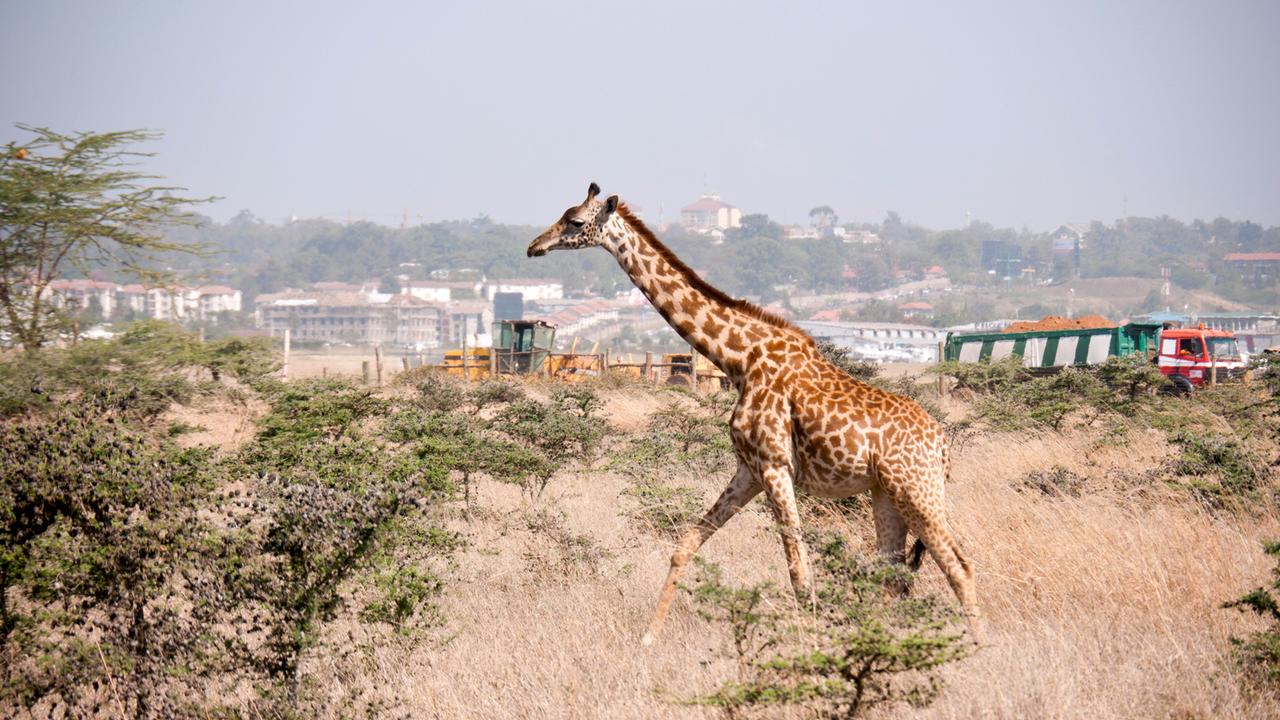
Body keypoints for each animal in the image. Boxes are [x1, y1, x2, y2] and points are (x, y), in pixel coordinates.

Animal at [527, 183, 977, 644]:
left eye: (575, 221)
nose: (534, 246)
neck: (739, 359)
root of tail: (942, 445)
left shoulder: (776, 466)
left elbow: (798, 569)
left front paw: (810, 643)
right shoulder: (749, 469)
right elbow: (685, 544)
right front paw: (650, 636)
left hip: (916, 489)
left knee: (959, 565)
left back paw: (978, 644)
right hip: (885, 493)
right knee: (893, 573)